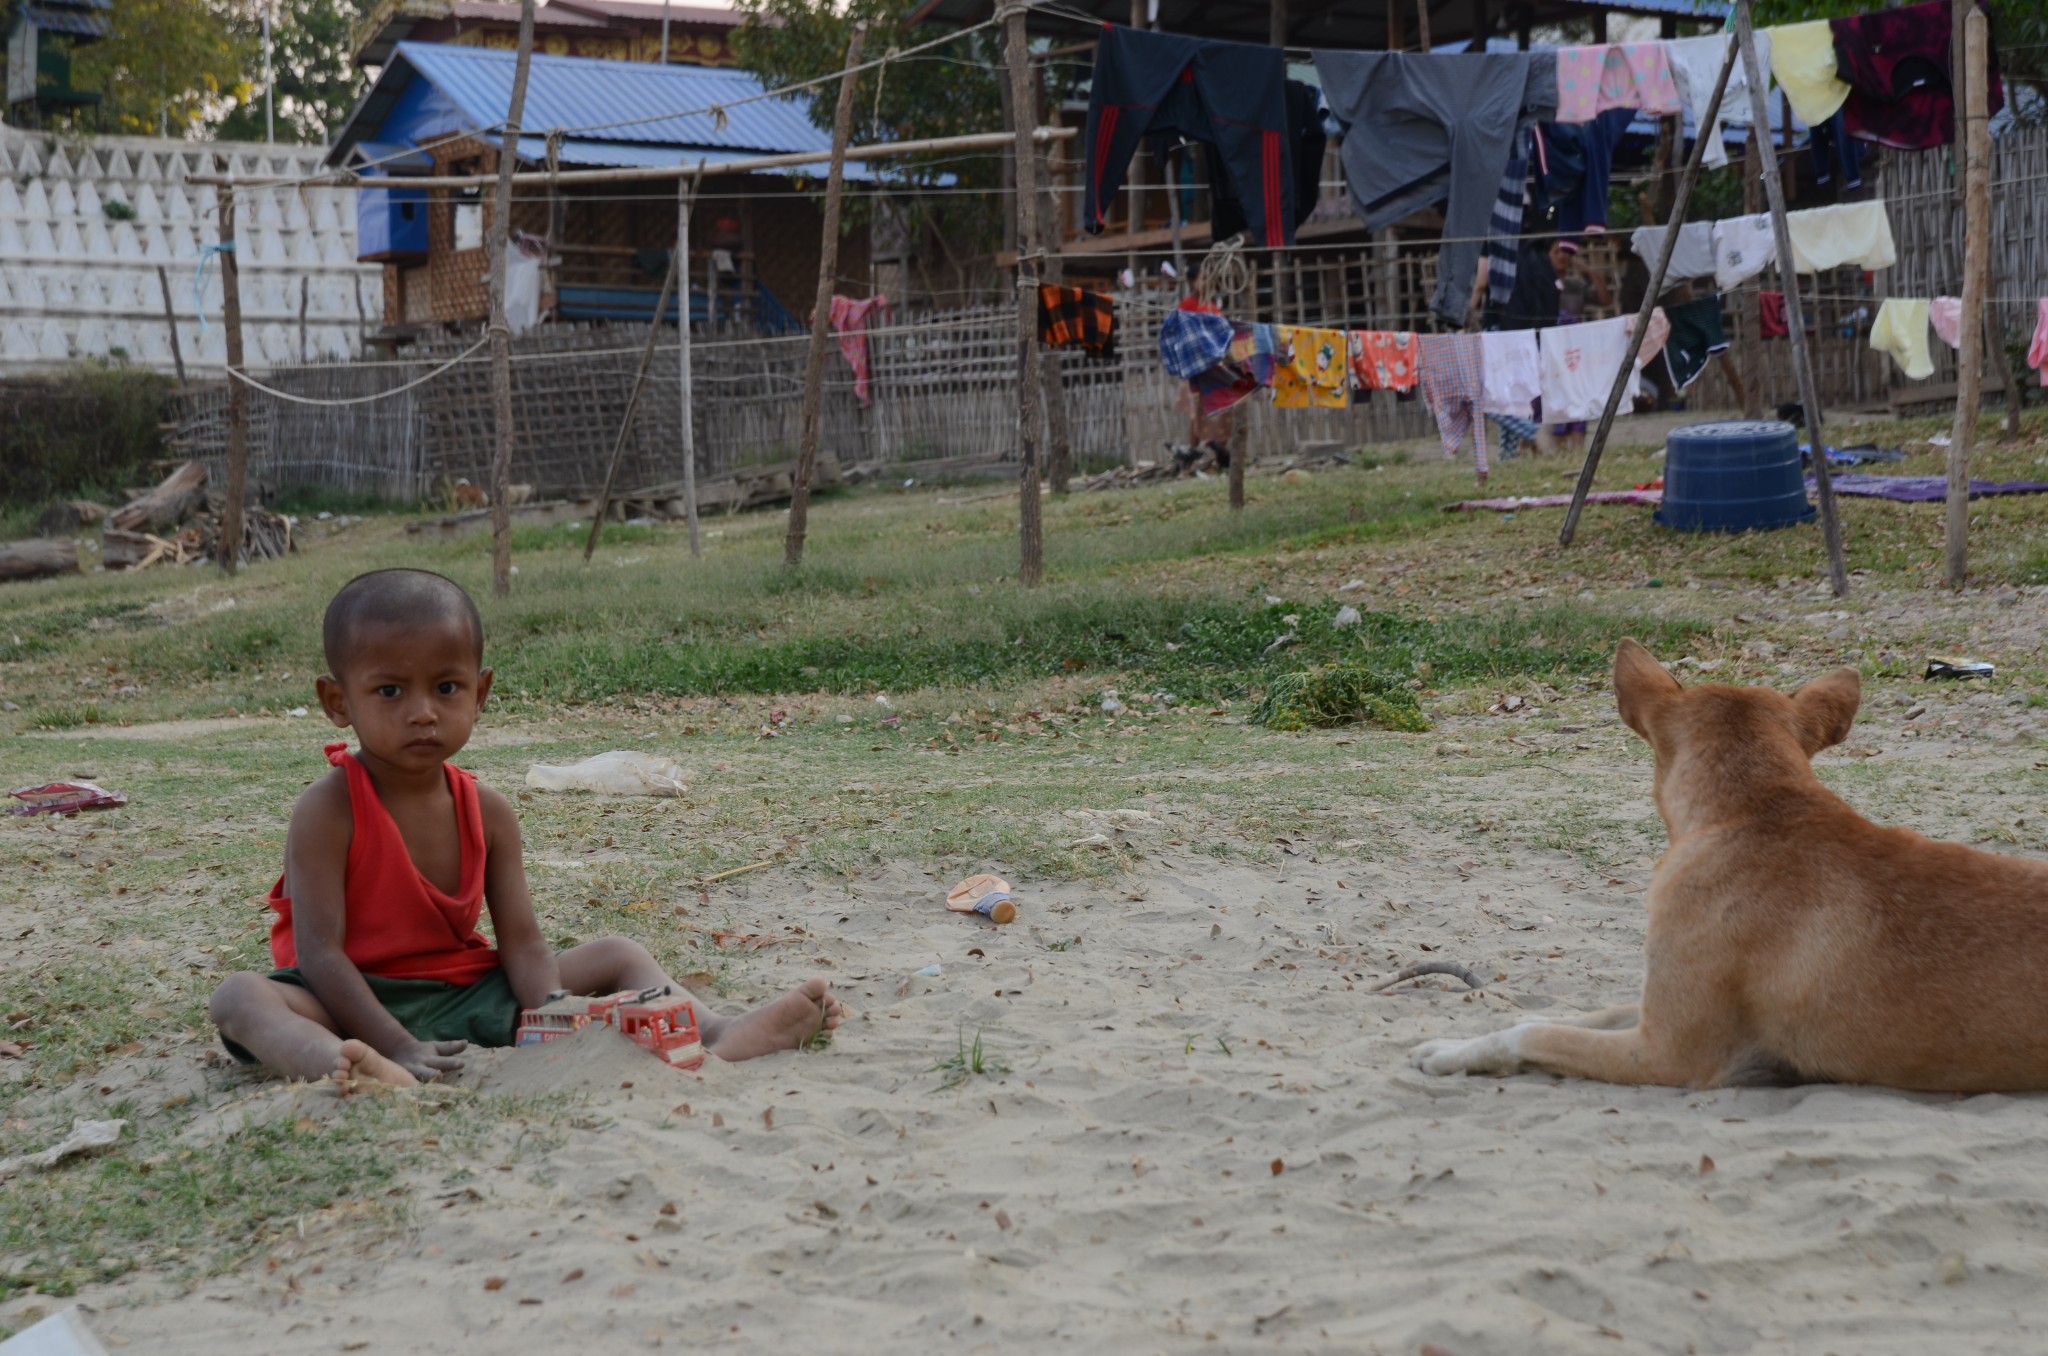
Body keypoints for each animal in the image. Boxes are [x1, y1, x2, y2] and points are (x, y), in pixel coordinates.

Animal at [1417, 643, 2048, 1097]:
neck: (1757, 808)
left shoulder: (1663, 1052)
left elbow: (1534, 1029)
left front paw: (1453, 1054)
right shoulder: (1653, 1009)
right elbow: (1586, 1011)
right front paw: (1455, 1041)